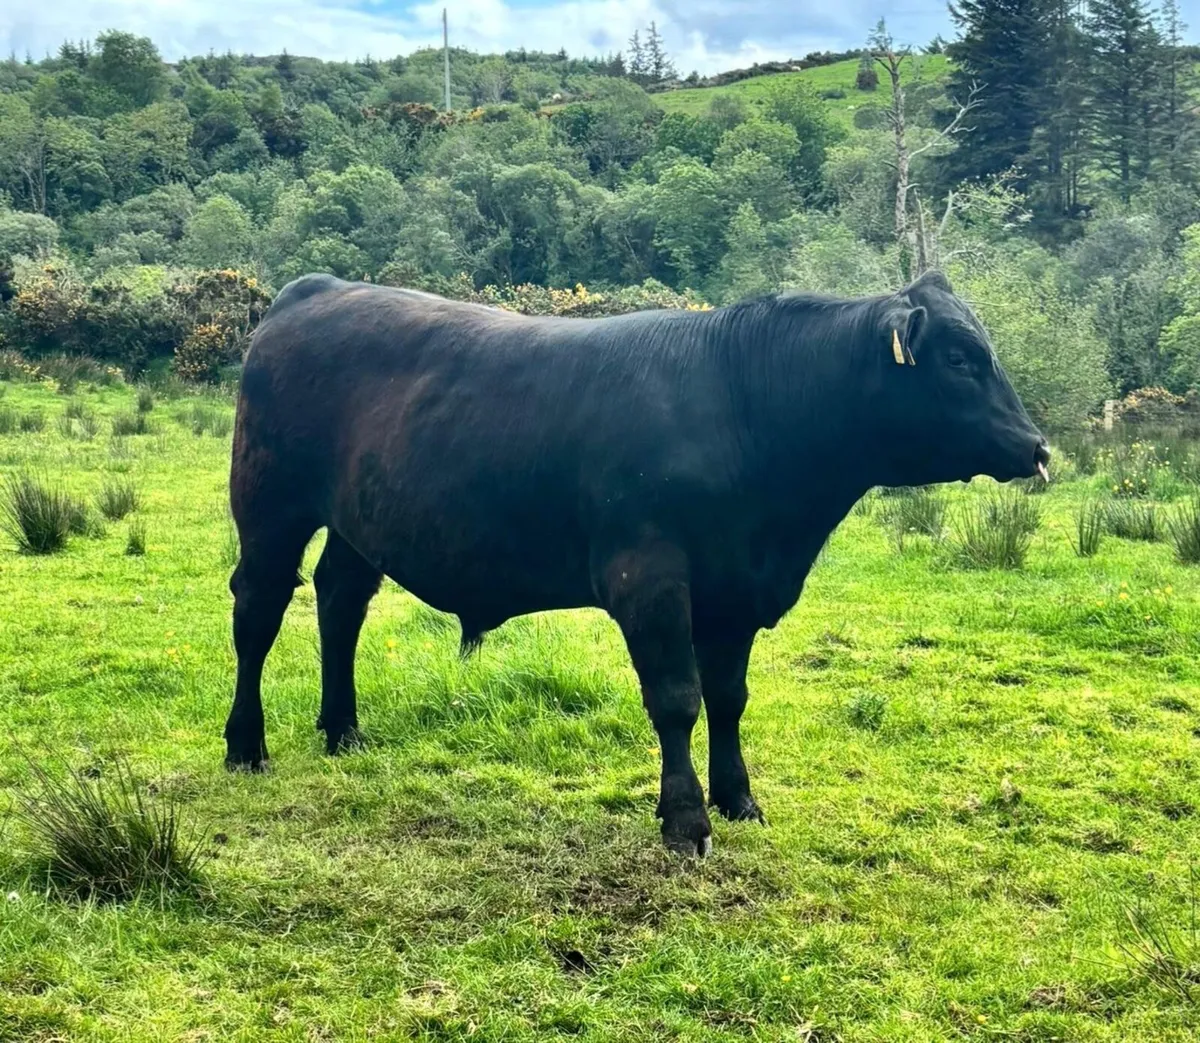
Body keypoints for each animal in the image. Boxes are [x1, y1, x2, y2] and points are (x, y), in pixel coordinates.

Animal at [225, 270, 1049, 856]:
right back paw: (246, 746)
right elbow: (678, 698)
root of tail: (316, 289)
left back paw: (343, 731)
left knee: (341, 598)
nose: (1036, 446)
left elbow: (729, 696)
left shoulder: (733, 589)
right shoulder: (649, 579)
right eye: (959, 357)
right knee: (258, 612)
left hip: (358, 520)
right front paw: (686, 820)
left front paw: (739, 799)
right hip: (269, 505)